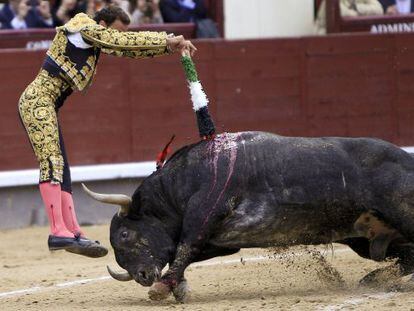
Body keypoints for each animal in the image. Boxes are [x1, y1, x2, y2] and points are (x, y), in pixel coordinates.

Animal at [83, 132, 414, 302]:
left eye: (125, 234)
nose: (141, 276)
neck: (179, 187)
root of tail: (407, 159)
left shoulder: (204, 215)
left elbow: (185, 248)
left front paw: (163, 288)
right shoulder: (222, 241)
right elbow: (184, 253)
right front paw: (178, 287)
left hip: (402, 214)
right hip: (366, 238)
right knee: (406, 257)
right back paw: (373, 279)